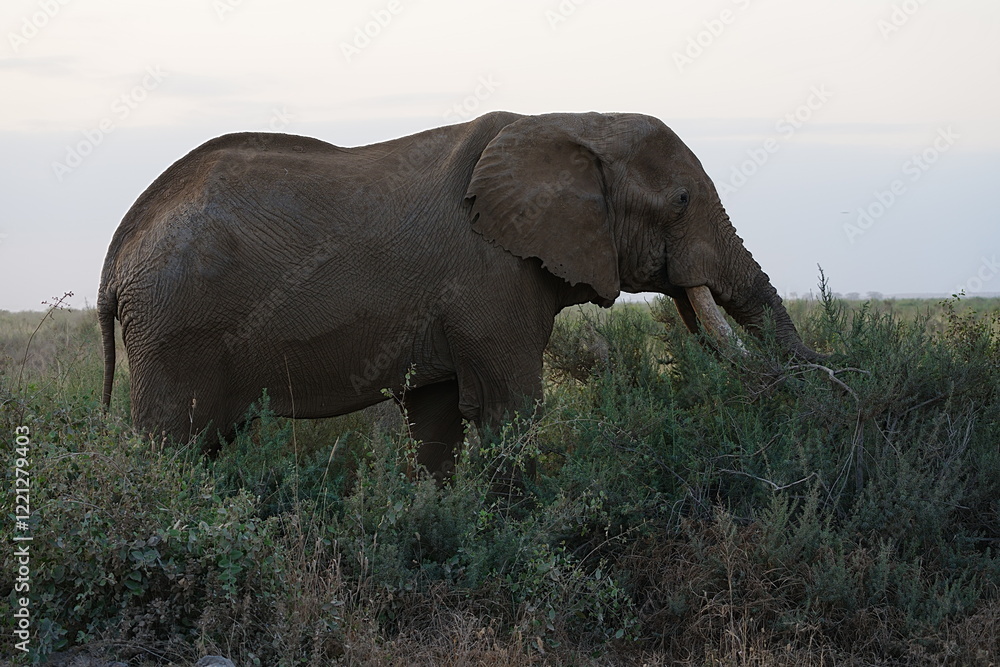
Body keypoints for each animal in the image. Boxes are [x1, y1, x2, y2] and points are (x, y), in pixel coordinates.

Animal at [98, 111, 820, 478]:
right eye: (682, 201)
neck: (576, 121)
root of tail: (118, 247)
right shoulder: (490, 281)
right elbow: (510, 412)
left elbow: (438, 421)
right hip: (173, 327)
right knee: (171, 447)